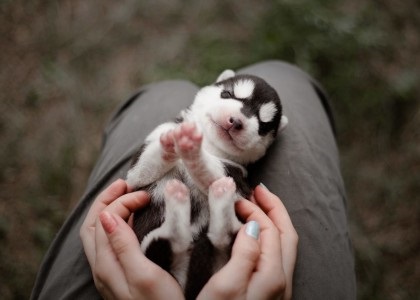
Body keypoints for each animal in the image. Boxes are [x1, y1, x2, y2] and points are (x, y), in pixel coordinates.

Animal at [126, 69, 288, 298]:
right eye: (227, 94)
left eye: (263, 125)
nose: (235, 121)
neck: (210, 145)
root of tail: (185, 284)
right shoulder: (136, 172)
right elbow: (147, 163)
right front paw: (174, 139)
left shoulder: (237, 179)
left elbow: (211, 168)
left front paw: (194, 154)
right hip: (148, 251)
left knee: (218, 236)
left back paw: (213, 198)